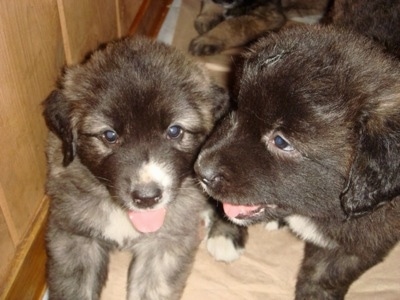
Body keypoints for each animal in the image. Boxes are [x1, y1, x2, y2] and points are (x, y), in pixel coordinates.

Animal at [42, 36, 245, 298]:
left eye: (174, 131)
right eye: (109, 135)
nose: (147, 198)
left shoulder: (163, 244)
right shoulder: (74, 237)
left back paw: (225, 238)